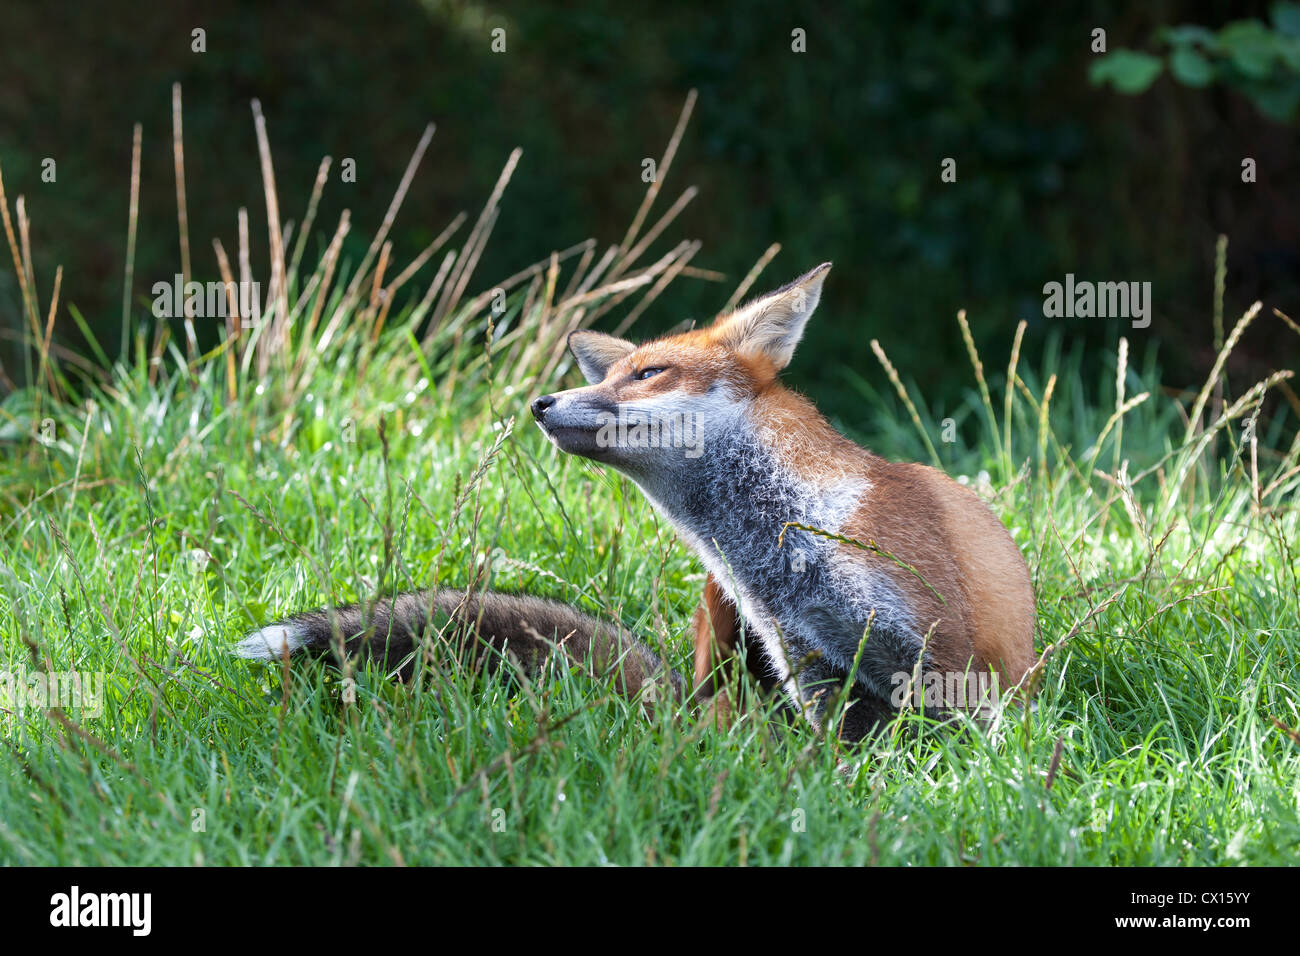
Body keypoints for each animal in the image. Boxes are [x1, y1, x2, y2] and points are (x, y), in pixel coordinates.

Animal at [241, 265, 1034, 743]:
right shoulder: (812, 667)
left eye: (649, 373)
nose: (541, 402)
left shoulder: (941, 651)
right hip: (716, 626)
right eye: (609, 373)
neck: (781, 547)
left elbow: (976, 741)